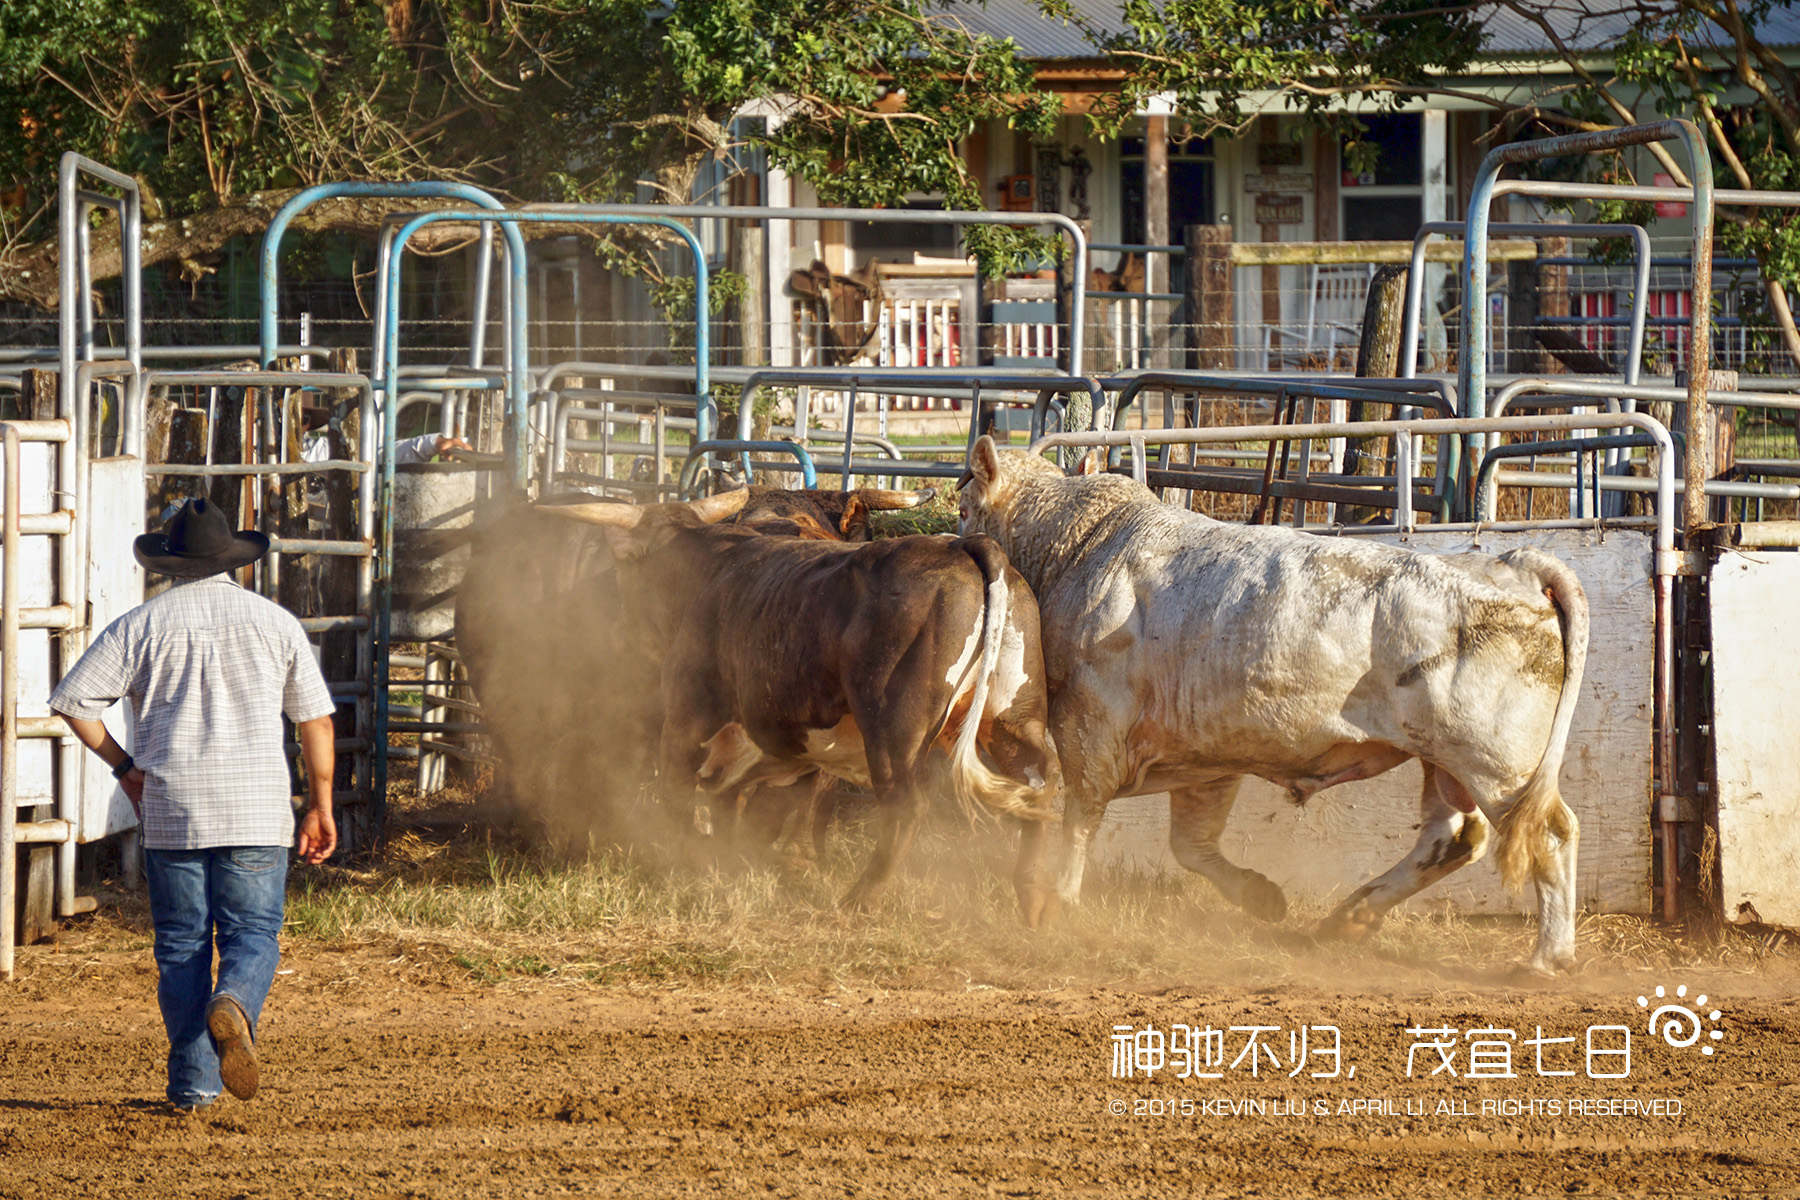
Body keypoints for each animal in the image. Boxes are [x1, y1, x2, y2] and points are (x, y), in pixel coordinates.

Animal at [957, 437, 1591, 971]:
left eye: (964, 502)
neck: (1082, 546)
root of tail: (1513, 565)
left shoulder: (1091, 723)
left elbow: (1081, 818)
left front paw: (1056, 903)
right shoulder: (1207, 755)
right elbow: (1192, 845)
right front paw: (1258, 897)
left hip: (1497, 763)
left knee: (1549, 834)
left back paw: (1547, 958)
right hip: (1444, 760)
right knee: (1453, 836)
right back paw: (1351, 917)